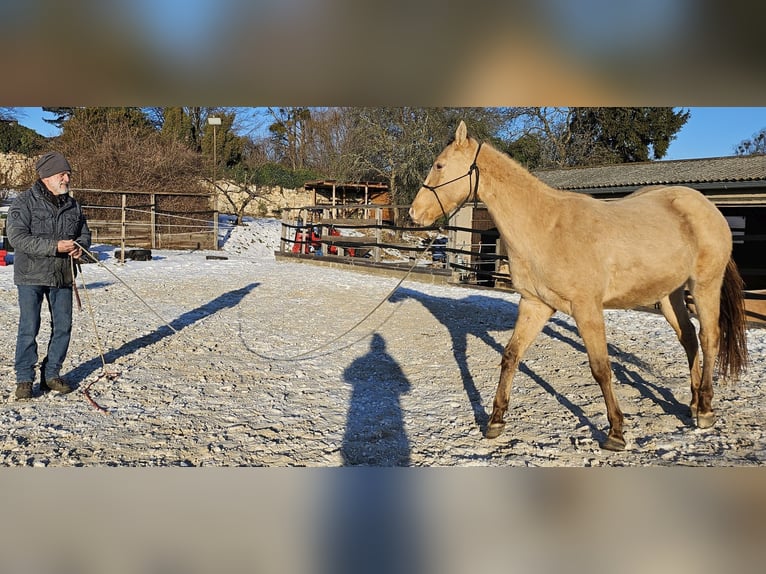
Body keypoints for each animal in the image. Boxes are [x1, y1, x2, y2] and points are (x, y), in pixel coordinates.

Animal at [409, 120, 749, 451]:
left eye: (439, 165)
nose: (414, 213)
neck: (546, 227)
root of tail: (708, 208)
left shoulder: (586, 308)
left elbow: (600, 367)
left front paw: (616, 432)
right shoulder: (535, 304)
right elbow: (511, 356)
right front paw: (495, 422)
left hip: (705, 286)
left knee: (709, 337)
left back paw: (705, 410)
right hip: (669, 294)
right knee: (689, 339)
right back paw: (692, 403)